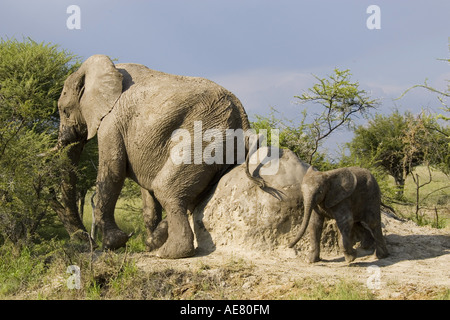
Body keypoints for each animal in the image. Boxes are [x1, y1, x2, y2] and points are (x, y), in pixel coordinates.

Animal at [55, 54, 262, 260]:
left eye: (64, 111)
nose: (91, 243)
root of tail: (243, 118)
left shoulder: (111, 121)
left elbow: (113, 171)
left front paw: (113, 244)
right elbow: (147, 196)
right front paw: (139, 243)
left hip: (204, 137)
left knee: (165, 189)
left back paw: (166, 252)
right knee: (189, 197)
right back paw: (154, 244)